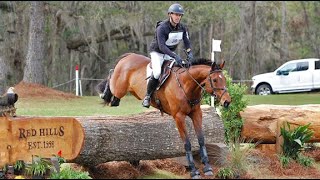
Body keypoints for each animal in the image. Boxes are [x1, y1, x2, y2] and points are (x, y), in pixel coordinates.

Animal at [96, 52, 231, 179]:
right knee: (111, 79)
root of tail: (128, 56)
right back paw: (103, 91)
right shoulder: (178, 117)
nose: (227, 102)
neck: (186, 85)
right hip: (119, 89)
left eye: (224, 79)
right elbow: (187, 144)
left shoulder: (196, 113)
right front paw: (193, 171)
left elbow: (202, 140)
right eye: (214, 80)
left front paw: (208, 168)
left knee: (114, 98)